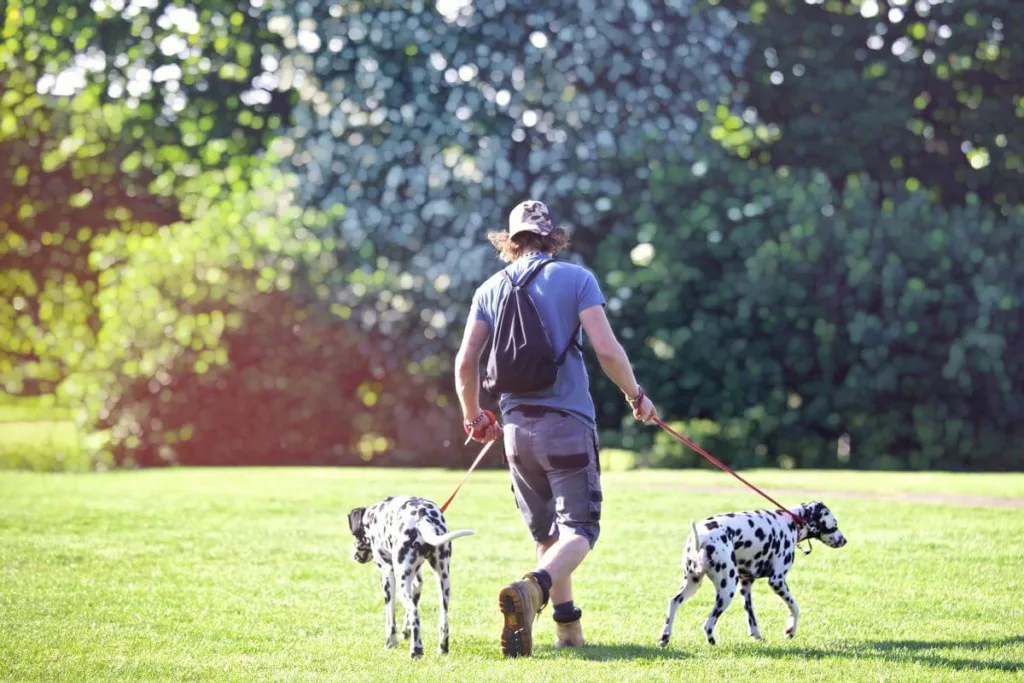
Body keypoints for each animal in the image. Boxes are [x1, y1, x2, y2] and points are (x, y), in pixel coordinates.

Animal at [348, 497, 475, 655]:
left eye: (355, 535)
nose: (354, 556)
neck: (373, 516)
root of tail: (422, 517)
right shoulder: (417, 583)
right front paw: (405, 632)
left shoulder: (387, 576)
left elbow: (391, 618)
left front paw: (390, 643)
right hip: (443, 581)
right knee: (443, 620)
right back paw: (442, 649)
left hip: (401, 583)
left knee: (415, 614)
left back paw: (416, 649)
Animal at [659, 501, 843, 647]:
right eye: (835, 524)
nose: (844, 540)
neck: (791, 522)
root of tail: (703, 537)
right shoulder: (777, 581)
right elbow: (795, 608)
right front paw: (790, 630)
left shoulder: (746, 585)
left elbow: (751, 616)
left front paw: (757, 635)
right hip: (726, 590)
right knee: (708, 624)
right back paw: (712, 642)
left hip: (692, 584)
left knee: (673, 603)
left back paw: (664, 637)